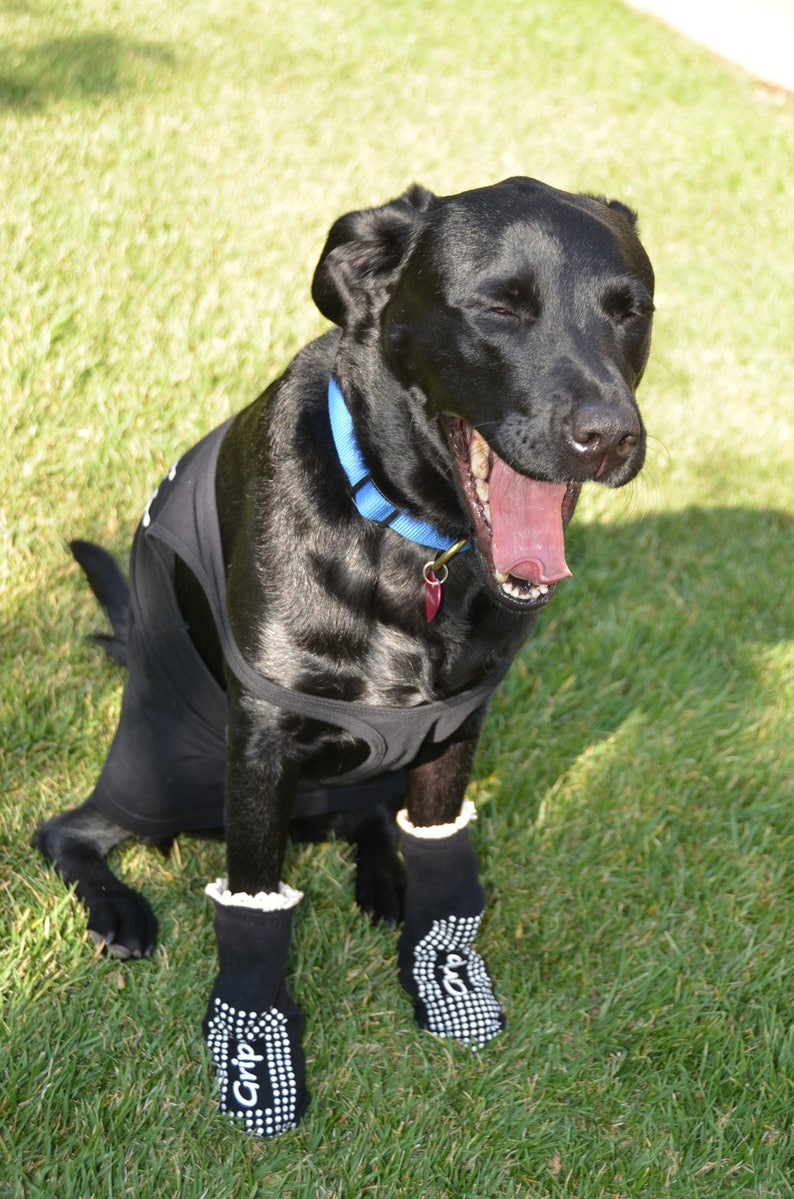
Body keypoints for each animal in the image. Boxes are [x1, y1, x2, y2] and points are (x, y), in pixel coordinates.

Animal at [35, 175, 652, 1131]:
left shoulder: (455, 731)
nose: (612, 436)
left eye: (631, 313)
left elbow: (444, 864)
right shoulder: (260, 745)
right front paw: (254, 1048)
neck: (411, 538)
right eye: (500, 307)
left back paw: (381, 875)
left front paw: (443, 974)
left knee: (368, 819)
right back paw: (118, 907)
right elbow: (254, 903)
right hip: (160, 774)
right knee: (66, 830)